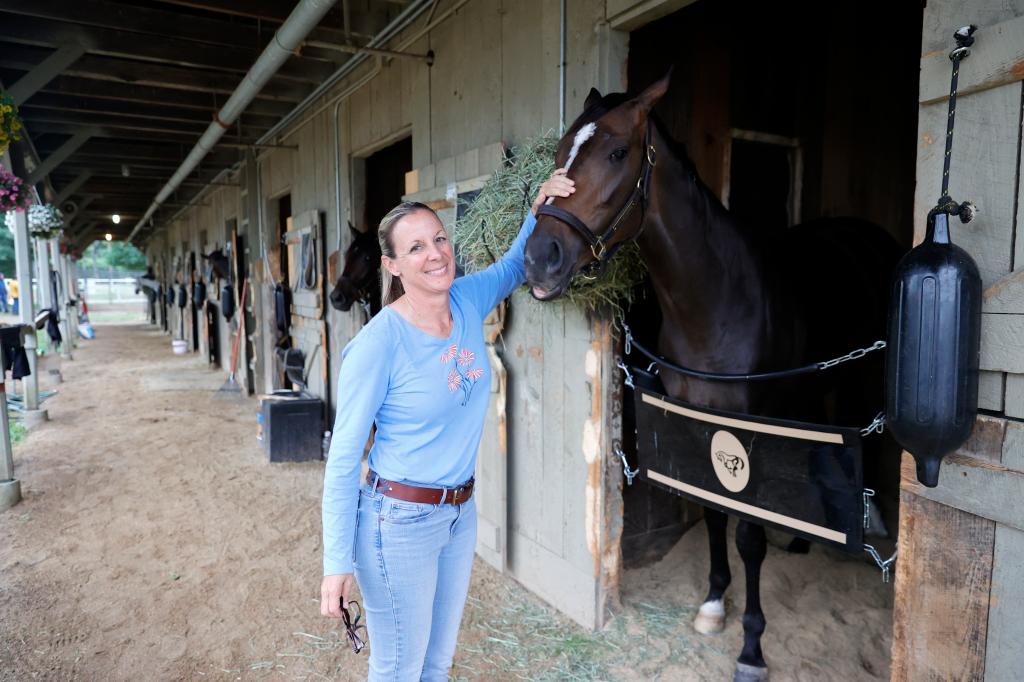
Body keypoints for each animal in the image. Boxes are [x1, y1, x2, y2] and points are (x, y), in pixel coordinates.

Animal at [524, 74, 901, 679]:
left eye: (617, 152)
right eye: (561, 152)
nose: (540, 258)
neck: (717, 301)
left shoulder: (745, 431)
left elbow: (747, 531)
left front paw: (751, 646)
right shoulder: (699, 422)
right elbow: (714, 516)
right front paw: (712, 604)